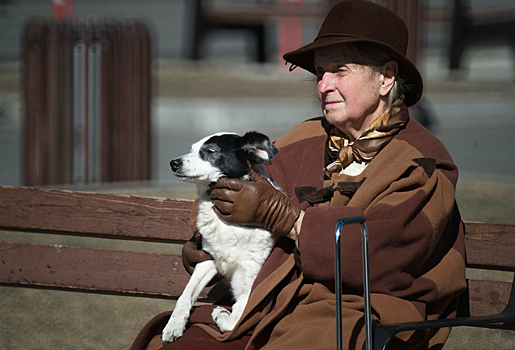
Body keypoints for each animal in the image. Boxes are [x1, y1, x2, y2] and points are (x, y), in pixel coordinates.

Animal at [163, 131, 280, 342]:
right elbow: (185, 295)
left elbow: (236, 319)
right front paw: (173, 325)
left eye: (210, 151)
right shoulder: (208, 260)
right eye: (192, 149)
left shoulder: (250, 285)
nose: (173, 163)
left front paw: (221, 314)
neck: (230, 225)